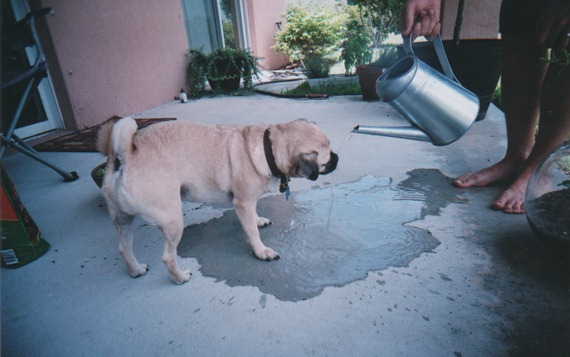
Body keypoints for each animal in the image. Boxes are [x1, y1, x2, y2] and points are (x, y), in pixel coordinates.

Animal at [96, 117, 338, 284]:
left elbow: (254, 216)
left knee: (124, 247)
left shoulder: (248, 202)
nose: (337, 158)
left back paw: (136, 270)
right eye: (326, 160)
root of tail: (125, 155)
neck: (268, 149)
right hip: (173, 220)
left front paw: (258, 220)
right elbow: (252, 233)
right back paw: (180, 277)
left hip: (123, 219)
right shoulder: (242, 203)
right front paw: (261, 251)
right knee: (167, 257)